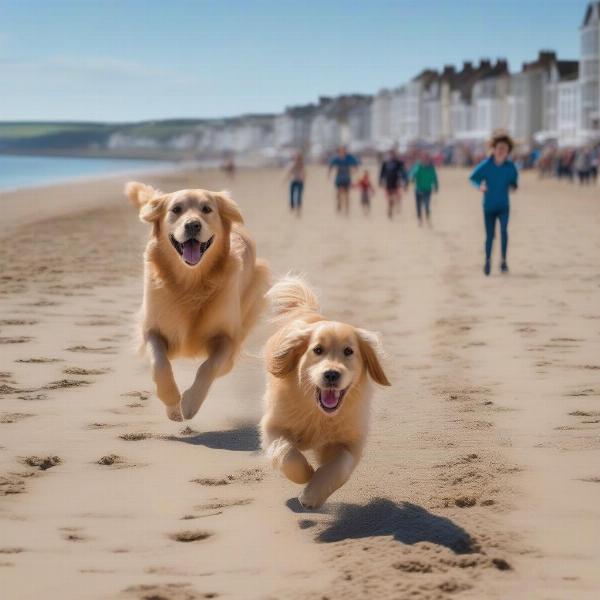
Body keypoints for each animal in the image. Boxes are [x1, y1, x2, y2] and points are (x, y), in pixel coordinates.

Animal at [126, 183, 270, 422]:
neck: (190, 282)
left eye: (206, 209)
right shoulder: (151, 330)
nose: (192, 224)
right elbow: (160, 365)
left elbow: (209, 366)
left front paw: (190, 403)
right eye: (176, 209)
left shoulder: (228, 338)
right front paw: (173, 405)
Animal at [262, 276, 392, 506]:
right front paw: (306, 473)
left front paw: (312, 494)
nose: (331, 374)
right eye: (317, 350)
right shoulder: (272, 426)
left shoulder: (351, 441)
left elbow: (340, 466)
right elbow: (286, 453)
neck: (318, 413)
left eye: (348, 351)